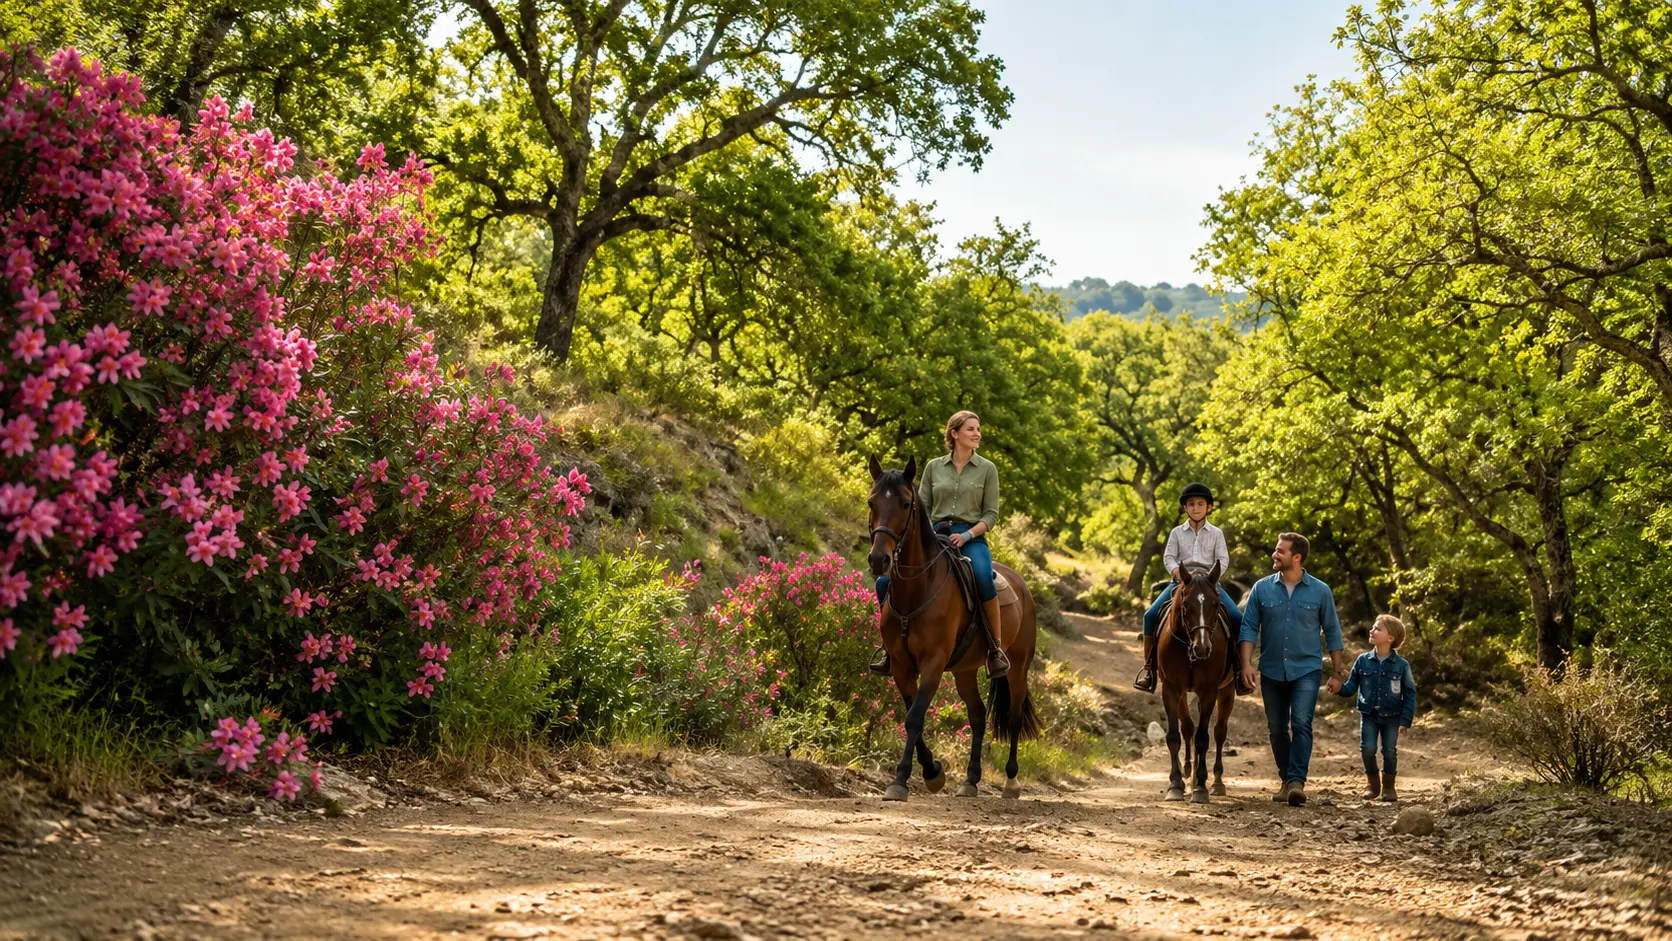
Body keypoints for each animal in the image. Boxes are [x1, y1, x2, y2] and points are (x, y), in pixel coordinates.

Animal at [866, 455, 1040, 801]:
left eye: (905, 504)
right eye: (871, 502)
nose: (879, 560)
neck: (917, 589)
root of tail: (1022, 586)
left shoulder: (933, 662)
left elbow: (915, 717)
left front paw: (902, 779)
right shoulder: (901, 665)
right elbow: (911, 714)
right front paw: (932, 771)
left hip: (1018, 667)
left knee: (1013, 716)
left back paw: (1011, 782)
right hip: (964, 671)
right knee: (978, 715)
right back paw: (971, 780)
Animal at [1156, 560, 1236, 803]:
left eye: (1215, 604)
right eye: (1186, 603)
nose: (1202, 648)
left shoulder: (1209, 691)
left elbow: (1203, 738)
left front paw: (1201, 787)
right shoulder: (1171, 689)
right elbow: (1174, 736)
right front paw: (1175, 784)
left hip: (1227, 691)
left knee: (1219, 732)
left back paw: (1216, 782)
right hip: (1183, 694)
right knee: (1188, 728)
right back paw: (1188, 775)